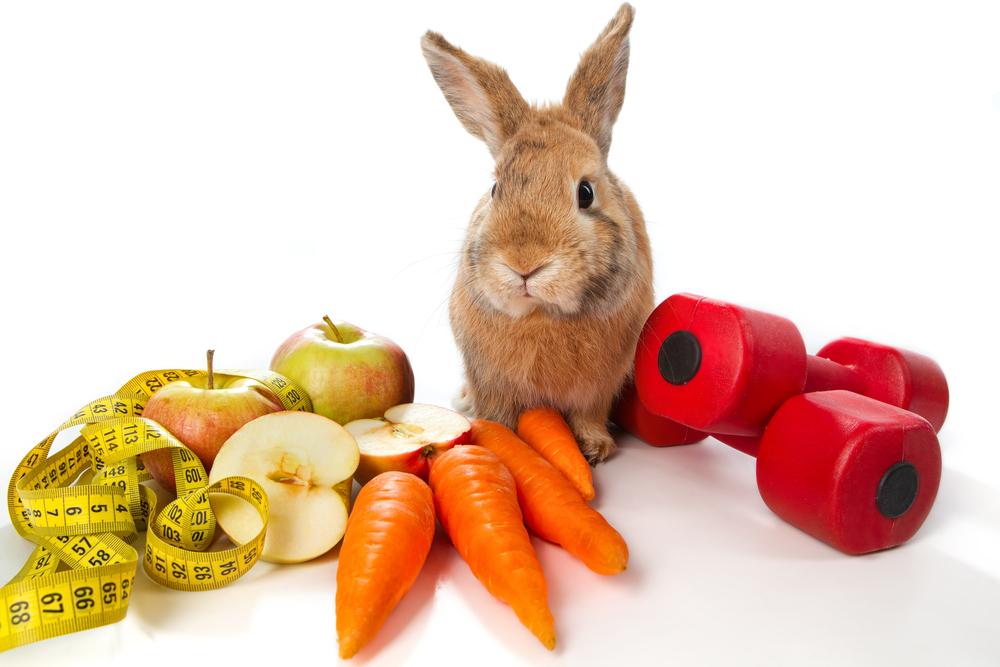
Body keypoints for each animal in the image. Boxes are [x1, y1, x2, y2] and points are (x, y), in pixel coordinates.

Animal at [421, 3, 653, 463]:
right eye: (495, 189)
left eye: (585, 193)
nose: (524, 265)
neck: (543, 315)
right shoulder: (492, 381)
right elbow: (499, 419)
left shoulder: (597, 389)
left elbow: (588, 415)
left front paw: (594, 448)